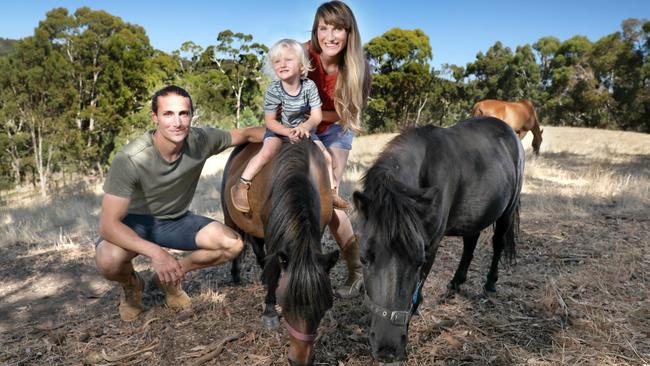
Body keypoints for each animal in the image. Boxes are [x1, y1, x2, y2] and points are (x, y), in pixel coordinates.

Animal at [220, 139, 336, 364]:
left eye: (324, 308)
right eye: (286, 305)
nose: (299, 361)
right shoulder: (273, 235)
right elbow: (274, 269)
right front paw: (270, 311)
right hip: (231, 218)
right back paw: (236, 274)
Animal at [352, 117, 524, 364]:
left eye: (418, 262)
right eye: (363, 258)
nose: (387, 350)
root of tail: (510, 131)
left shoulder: (431, 247)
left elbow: (416, 294)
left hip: (506, 214)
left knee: (498, 244)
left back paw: (490, 284)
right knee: (470, 244)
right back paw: (456, 282)